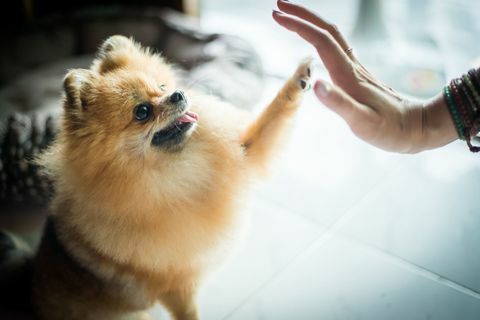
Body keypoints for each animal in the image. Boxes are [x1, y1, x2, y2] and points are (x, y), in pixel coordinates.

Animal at [31, 35, 314, 320]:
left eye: (162, 86)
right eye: (142, 111)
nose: (177, 93)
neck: (177, 173)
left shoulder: (244, 153)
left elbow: (271, 118)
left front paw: (300, 79)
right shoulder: (177, 286)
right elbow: (190, 314)